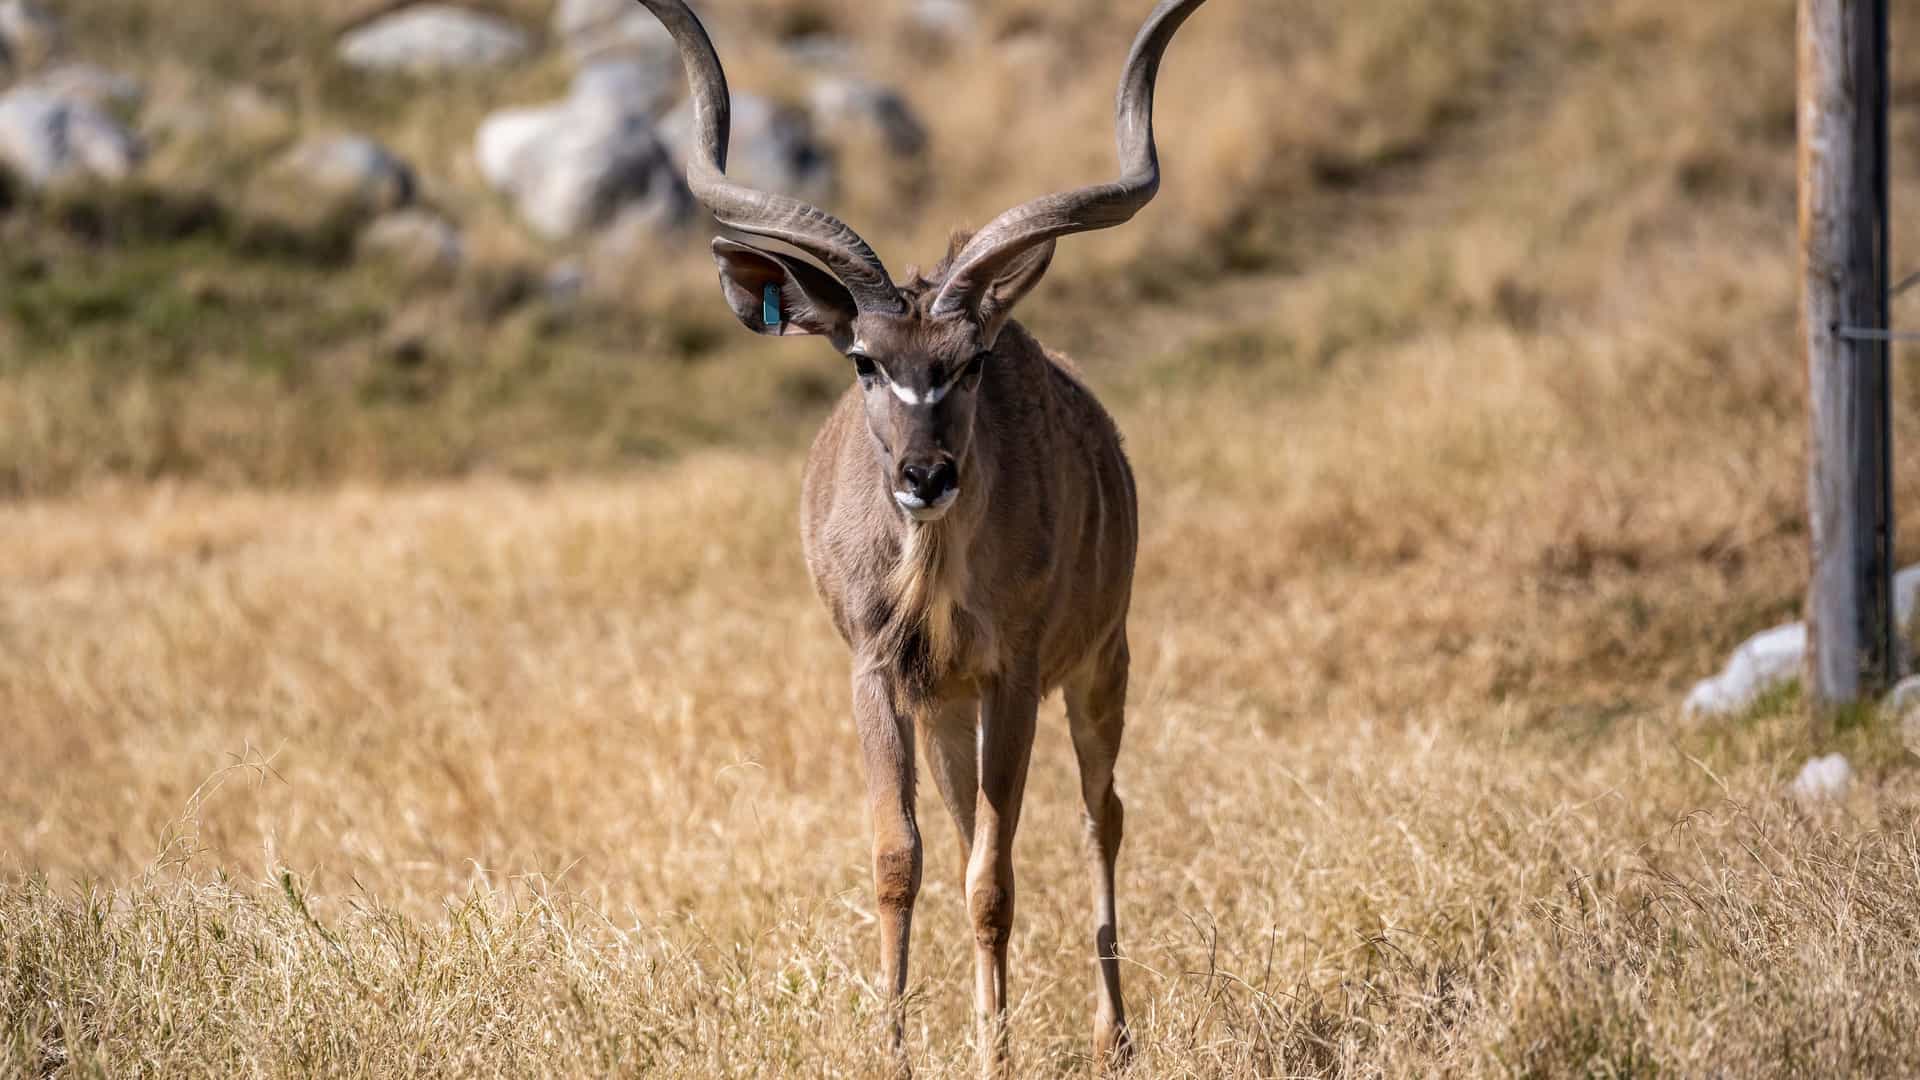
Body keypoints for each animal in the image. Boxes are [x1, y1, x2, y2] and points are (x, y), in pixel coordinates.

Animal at [638, 0, 1207, 1072]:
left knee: (1099, 815)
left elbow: (994, 879)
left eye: (972, 358)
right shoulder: (879, 672)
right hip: (951, 709)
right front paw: (895, 1048)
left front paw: (996, 1053)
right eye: (864, 359)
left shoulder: (1016, 672)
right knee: (973, 828)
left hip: (1100, 661)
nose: (926, 475)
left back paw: (1113, 1034)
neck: (932, 574)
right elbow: (901, 857)